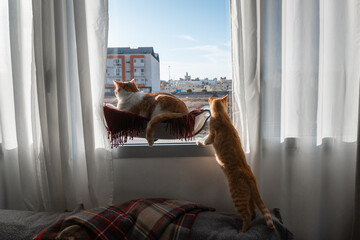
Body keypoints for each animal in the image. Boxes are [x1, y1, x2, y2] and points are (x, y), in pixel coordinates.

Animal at [195, 95, 274, 232]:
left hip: (237, 198)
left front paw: (198, 141)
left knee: (247, 215)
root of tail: (251, 177)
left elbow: (205, 141)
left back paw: (242, 231)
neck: (221, 114)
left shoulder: (211, 135)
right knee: (253, 212)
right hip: (250, 199)